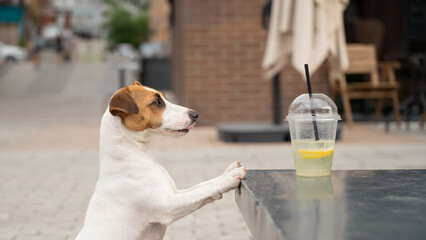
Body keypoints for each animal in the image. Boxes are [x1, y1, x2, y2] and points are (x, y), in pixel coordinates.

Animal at [73, 81, 246, 239]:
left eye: (164, 98)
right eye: (156, 102)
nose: (195, 114)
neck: (138, 155)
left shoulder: (175, 192)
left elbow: (203, 185)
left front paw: (227, 173)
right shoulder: (168, 205)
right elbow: (203, 190)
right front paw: (230, 179)